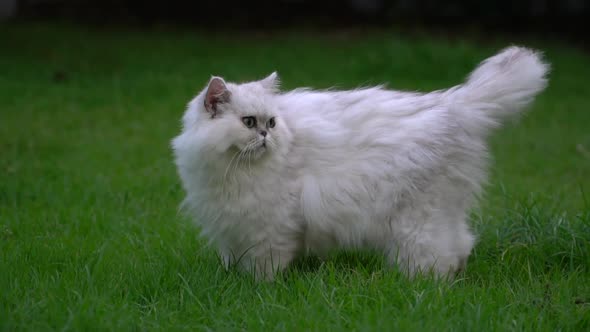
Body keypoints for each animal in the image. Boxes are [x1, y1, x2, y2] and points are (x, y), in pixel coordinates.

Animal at [171, 46, 552, 280]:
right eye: (249, 122)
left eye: (272, 123)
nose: (265, 135)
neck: (231, 172)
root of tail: (453, 104)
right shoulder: (230, 227)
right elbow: (231, 260)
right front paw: (231, 280)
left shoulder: (271, 227)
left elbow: (266, 268)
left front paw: (259, 288)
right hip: (443, 212)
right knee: (462, 244)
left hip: (417, 222)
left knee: (439, 257)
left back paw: (423, 288)